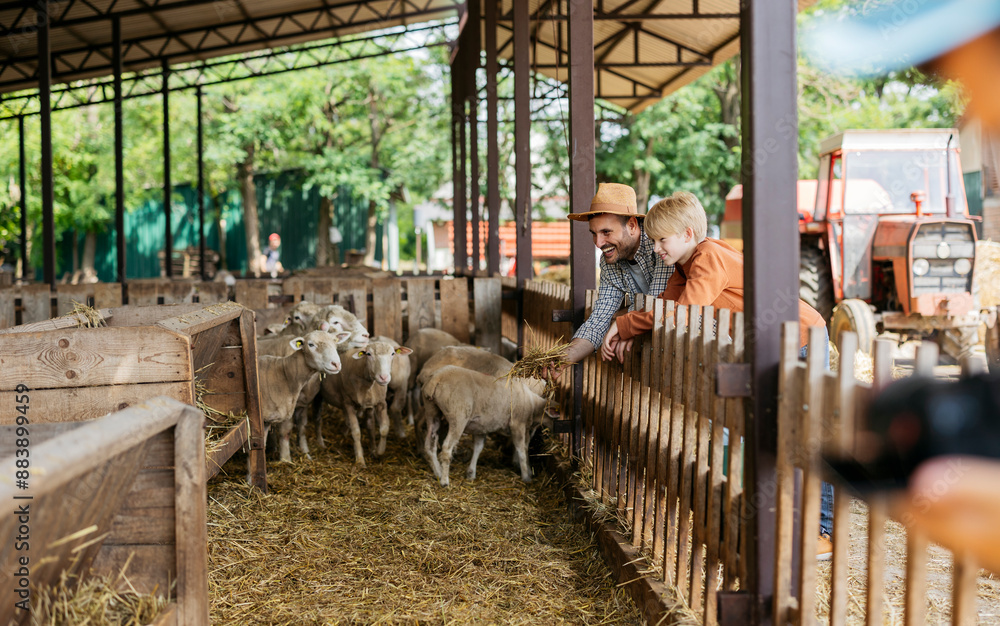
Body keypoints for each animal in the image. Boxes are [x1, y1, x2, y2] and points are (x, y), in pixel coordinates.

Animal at [254, 330, 348, 460]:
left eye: (335, 341)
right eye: (311, 344)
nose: (336, 364)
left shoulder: (303, 404)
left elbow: (302, 427)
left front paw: (306, 453)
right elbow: (286, 431)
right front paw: (285, 459)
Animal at [320, 338, 414, 466]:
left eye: (393, 354)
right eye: (368, 354)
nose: (384, 377)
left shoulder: (379, 402)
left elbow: (381, 428)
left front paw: (377, 451)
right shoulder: (348, 403)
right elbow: (356, 432)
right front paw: (360, 460)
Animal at [418, 364, 552, 486]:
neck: (532, 404)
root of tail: (436, 378)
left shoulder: (481, 427)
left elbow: (478, 447)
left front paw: (471, 474)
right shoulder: (517, 424)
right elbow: (522, 450)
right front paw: (526, 476)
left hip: (431, 411)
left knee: (430, 444)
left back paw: (438, 472)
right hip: (458, 416)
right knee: (446, 449)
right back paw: (445, 481)